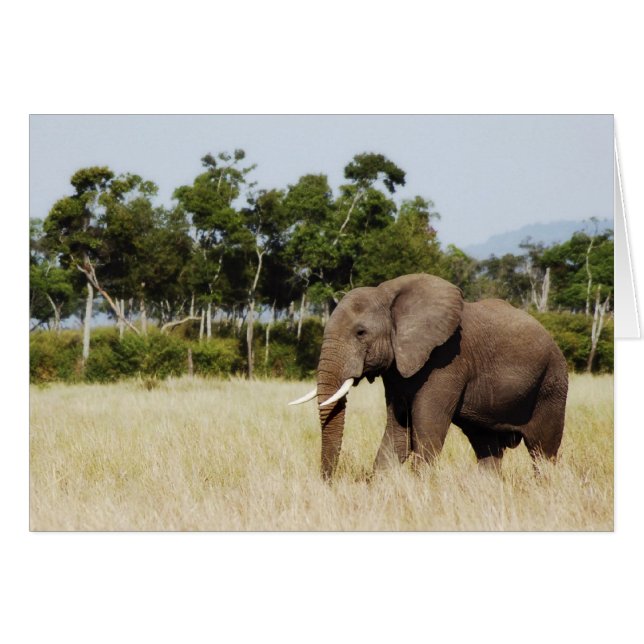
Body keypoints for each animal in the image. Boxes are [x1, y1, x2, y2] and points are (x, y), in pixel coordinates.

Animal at [289, 273, 568, 480]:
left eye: (360, 333)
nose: (328, 483)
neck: (388, 296)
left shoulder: (447, 361)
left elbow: (427, 434)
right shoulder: (398, 369)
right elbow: (398, 434)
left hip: (552, 384)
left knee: (543, 451)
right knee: (487, 447)